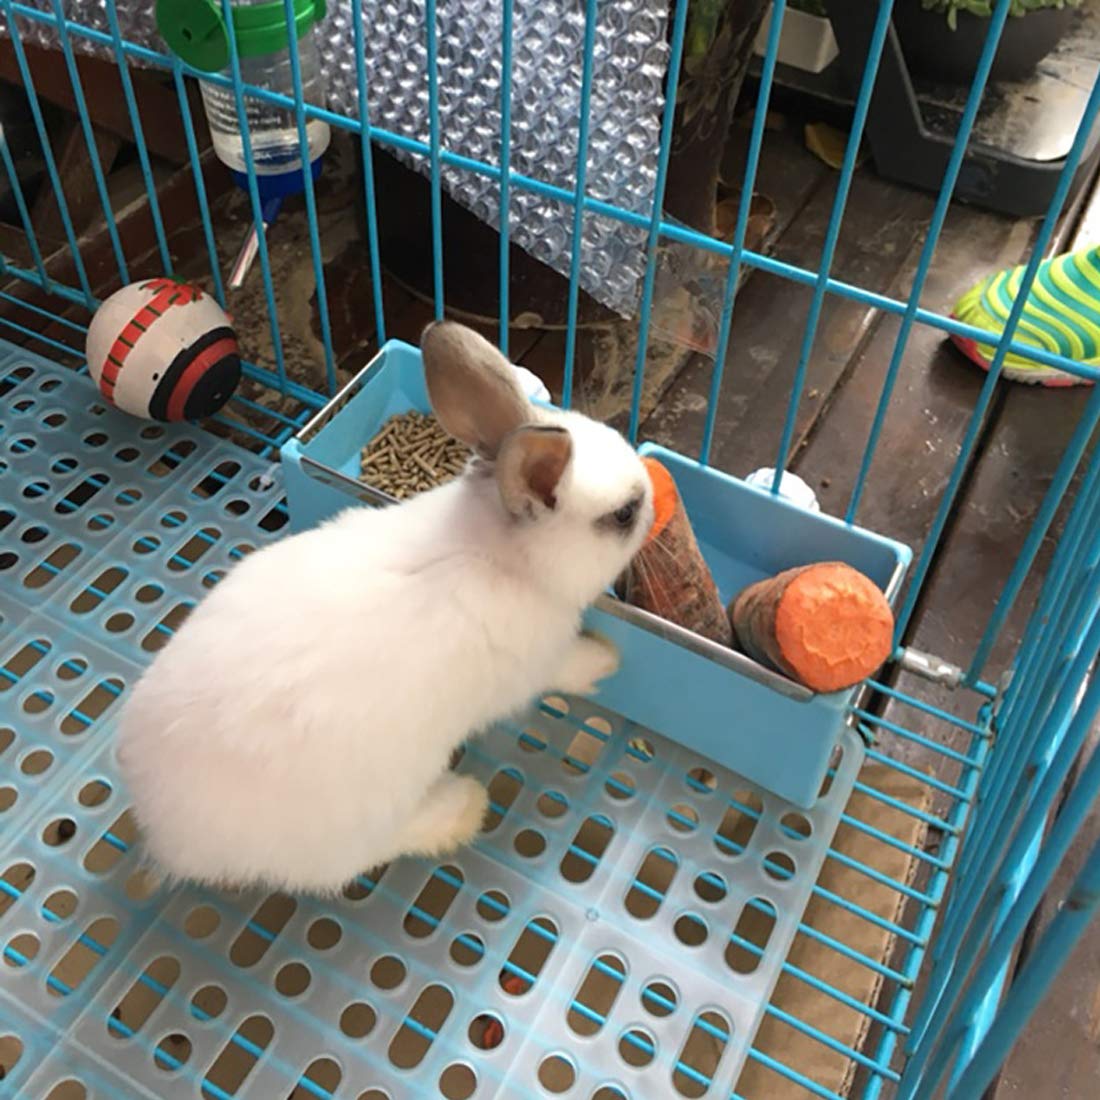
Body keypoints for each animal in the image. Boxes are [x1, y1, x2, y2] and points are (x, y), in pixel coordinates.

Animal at [116, 321, 655, 894]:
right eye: (624, 514)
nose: (652, 497)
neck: (493, 551)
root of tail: (166, 833)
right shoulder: (538, 664)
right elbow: (568, 669)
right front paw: (605, 659)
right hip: (361, 819)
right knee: (369, 851)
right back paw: (463, 808)